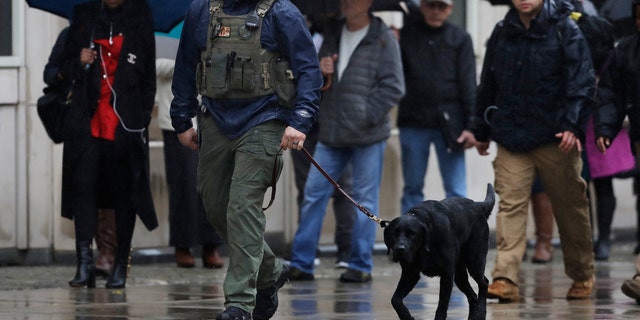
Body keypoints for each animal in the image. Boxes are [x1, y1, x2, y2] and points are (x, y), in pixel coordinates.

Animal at [382, 184, 498, 318]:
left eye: (412, 234)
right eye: (394, 234)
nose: (400, 249)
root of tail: (478, 205)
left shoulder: (447, 274)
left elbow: (442, 306)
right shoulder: (410, 273)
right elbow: (395, 300)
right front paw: (406, 316)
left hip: (474, 261)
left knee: (484, 283)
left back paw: (480, 312)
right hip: (459, 275)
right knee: (473, 295)